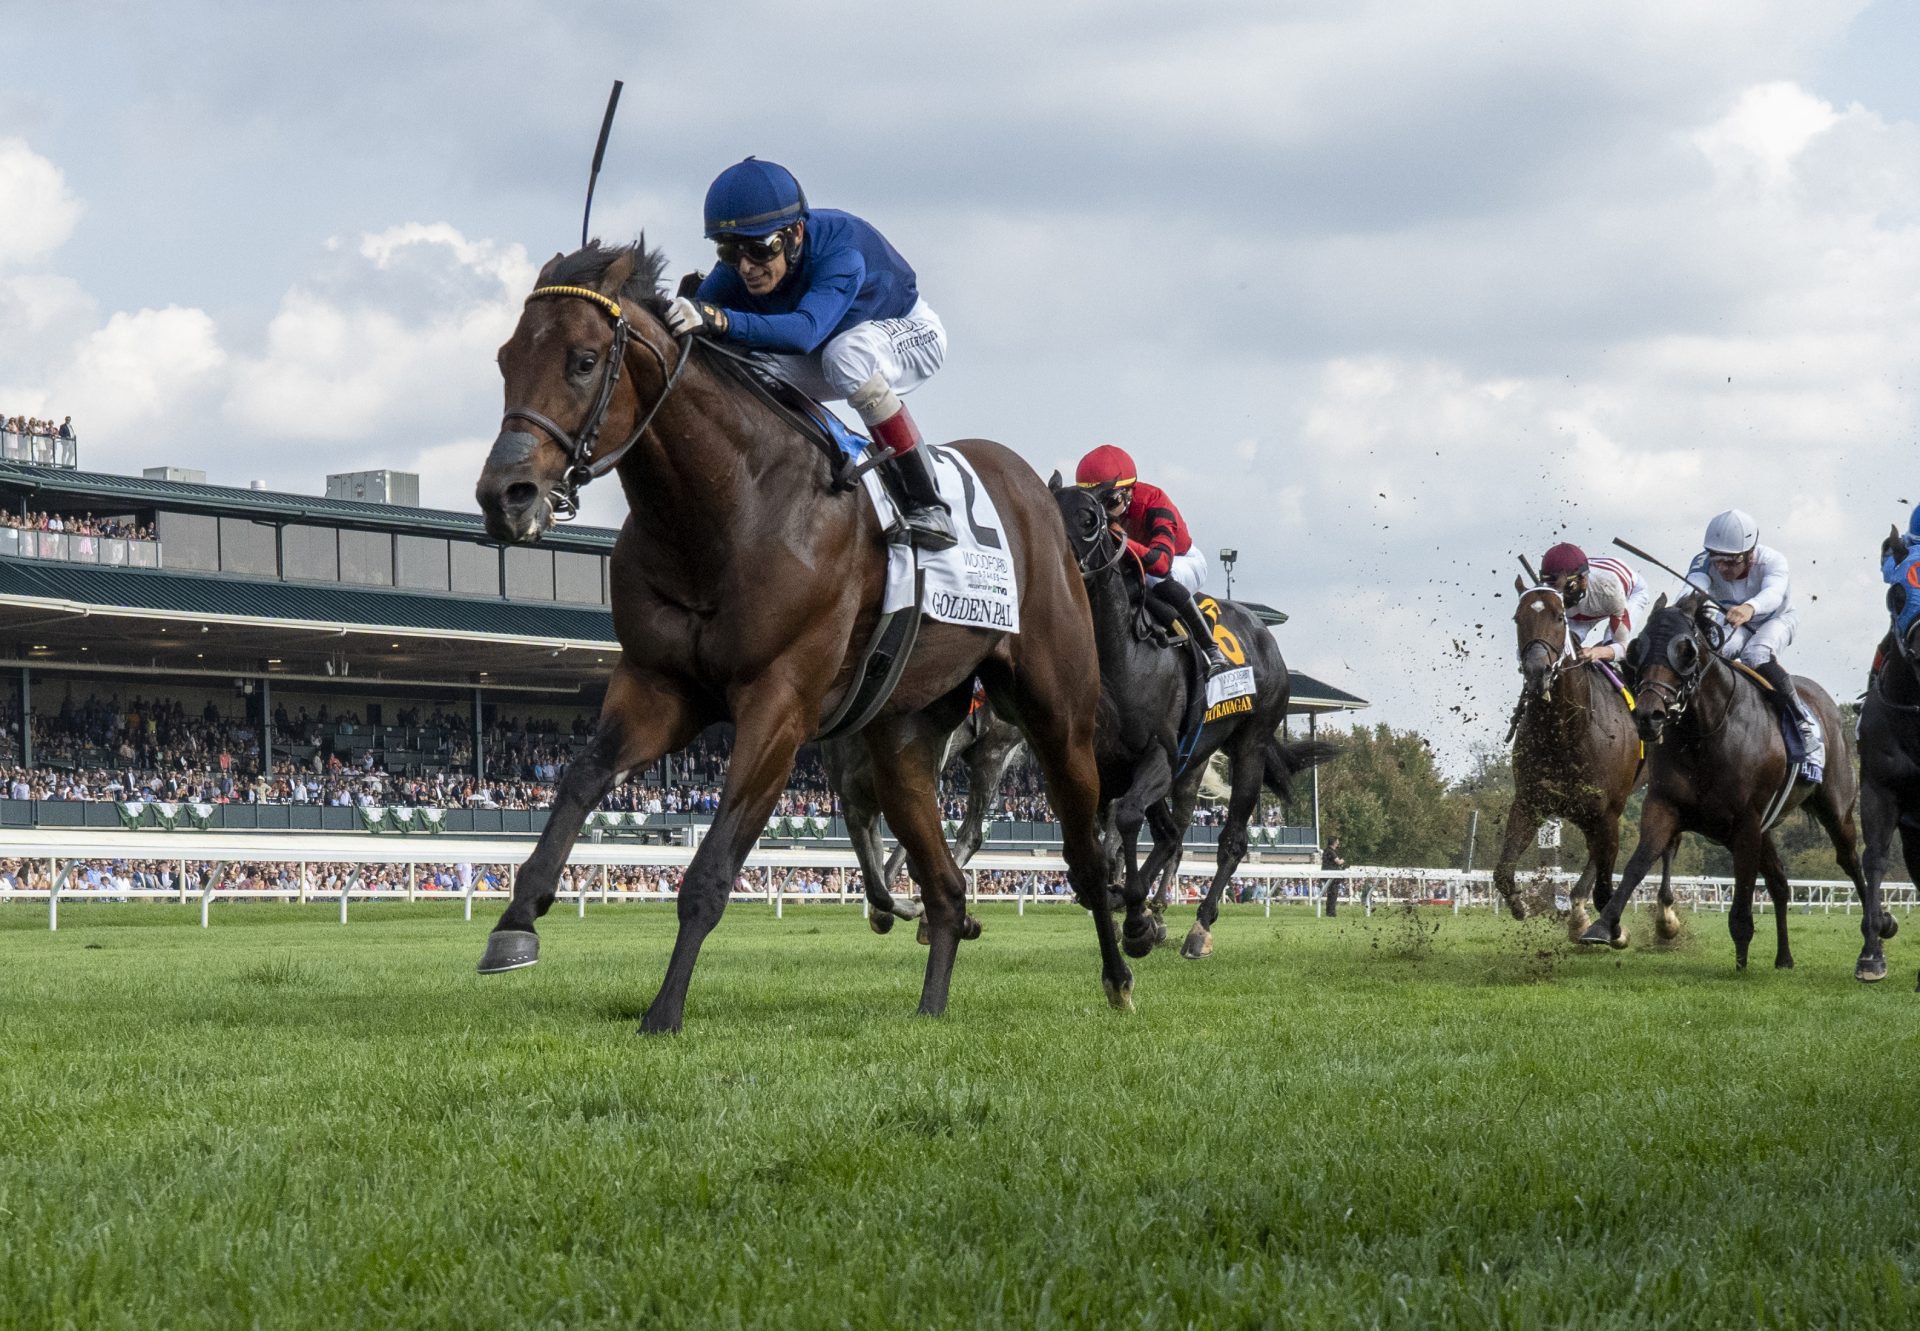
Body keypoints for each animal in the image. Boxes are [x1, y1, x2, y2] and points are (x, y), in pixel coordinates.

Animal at [1052, 478, 1336, 956]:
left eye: (1090, 518)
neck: (1121, 656)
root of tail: (1263, 633)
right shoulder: (1101, 764)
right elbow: (1095, 842)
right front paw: (1124, 903)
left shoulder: (1159, 755)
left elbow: (1126, 819)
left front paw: (1135, 918)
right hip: (1192, 761)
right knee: (1173, 833)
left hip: (1249, 746)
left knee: (1229, 841)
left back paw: (1197, 927)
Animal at [1489, 580, 1674, 944]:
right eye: (1518, 618)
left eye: (1559, 617)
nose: (1537, 671)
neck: (1565, 729)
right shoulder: (1531, 800)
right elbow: (1503, 870)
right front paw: (1522, 906)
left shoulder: (1607, 810)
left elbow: (1606, 886)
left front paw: (1614, 930)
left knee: (1667, 845)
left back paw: (1665, 916)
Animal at [1574, 591, 1873, 975]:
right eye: (1637, 648)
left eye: (1686, 651)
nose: (1648, 716)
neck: (1706, 732)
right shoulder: (1665, 807)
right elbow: (1638, 864)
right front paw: (1603, 926)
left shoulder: (1746, 822)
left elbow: (1743, 893)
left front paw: (1741, 955)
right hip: (1764, 829)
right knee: (1779, 883)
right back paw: (1784, 957)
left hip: (1836, 809)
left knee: (1850, 861)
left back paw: (1876, 931)